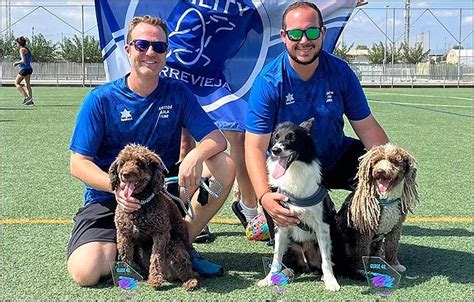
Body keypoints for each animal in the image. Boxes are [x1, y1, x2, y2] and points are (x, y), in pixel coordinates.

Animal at [109, 144, 198, 290]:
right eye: (122, 163)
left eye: (140, 163)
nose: (125, 174)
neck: (140, 204)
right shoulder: (123, 234)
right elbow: (125, 256)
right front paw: (130, 274)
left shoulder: (160, 233)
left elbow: (156, 257)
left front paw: (155, 279)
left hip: (175, 246)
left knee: (188, 270)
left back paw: (190, 281)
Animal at [332, 143, 420, 280]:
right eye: (377, 161)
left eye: (394, 161)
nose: (380, 171)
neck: (386, 198)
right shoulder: (364, 230)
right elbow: (362, 251)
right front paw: (361, 270)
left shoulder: (396, 227)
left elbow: (392, 247)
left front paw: (394, 264)